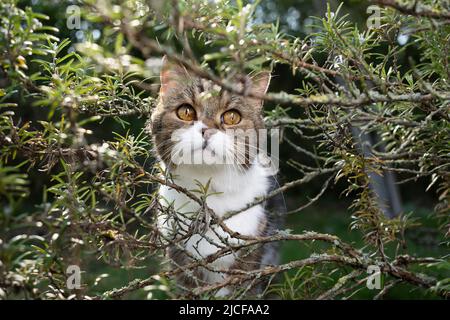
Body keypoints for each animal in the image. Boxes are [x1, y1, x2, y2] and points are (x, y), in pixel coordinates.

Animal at [148, 56, 284, 298]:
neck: (209, 190)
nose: (207, 130)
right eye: (186, 112)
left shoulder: (250, 260)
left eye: (231, 117)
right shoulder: (182, 264)